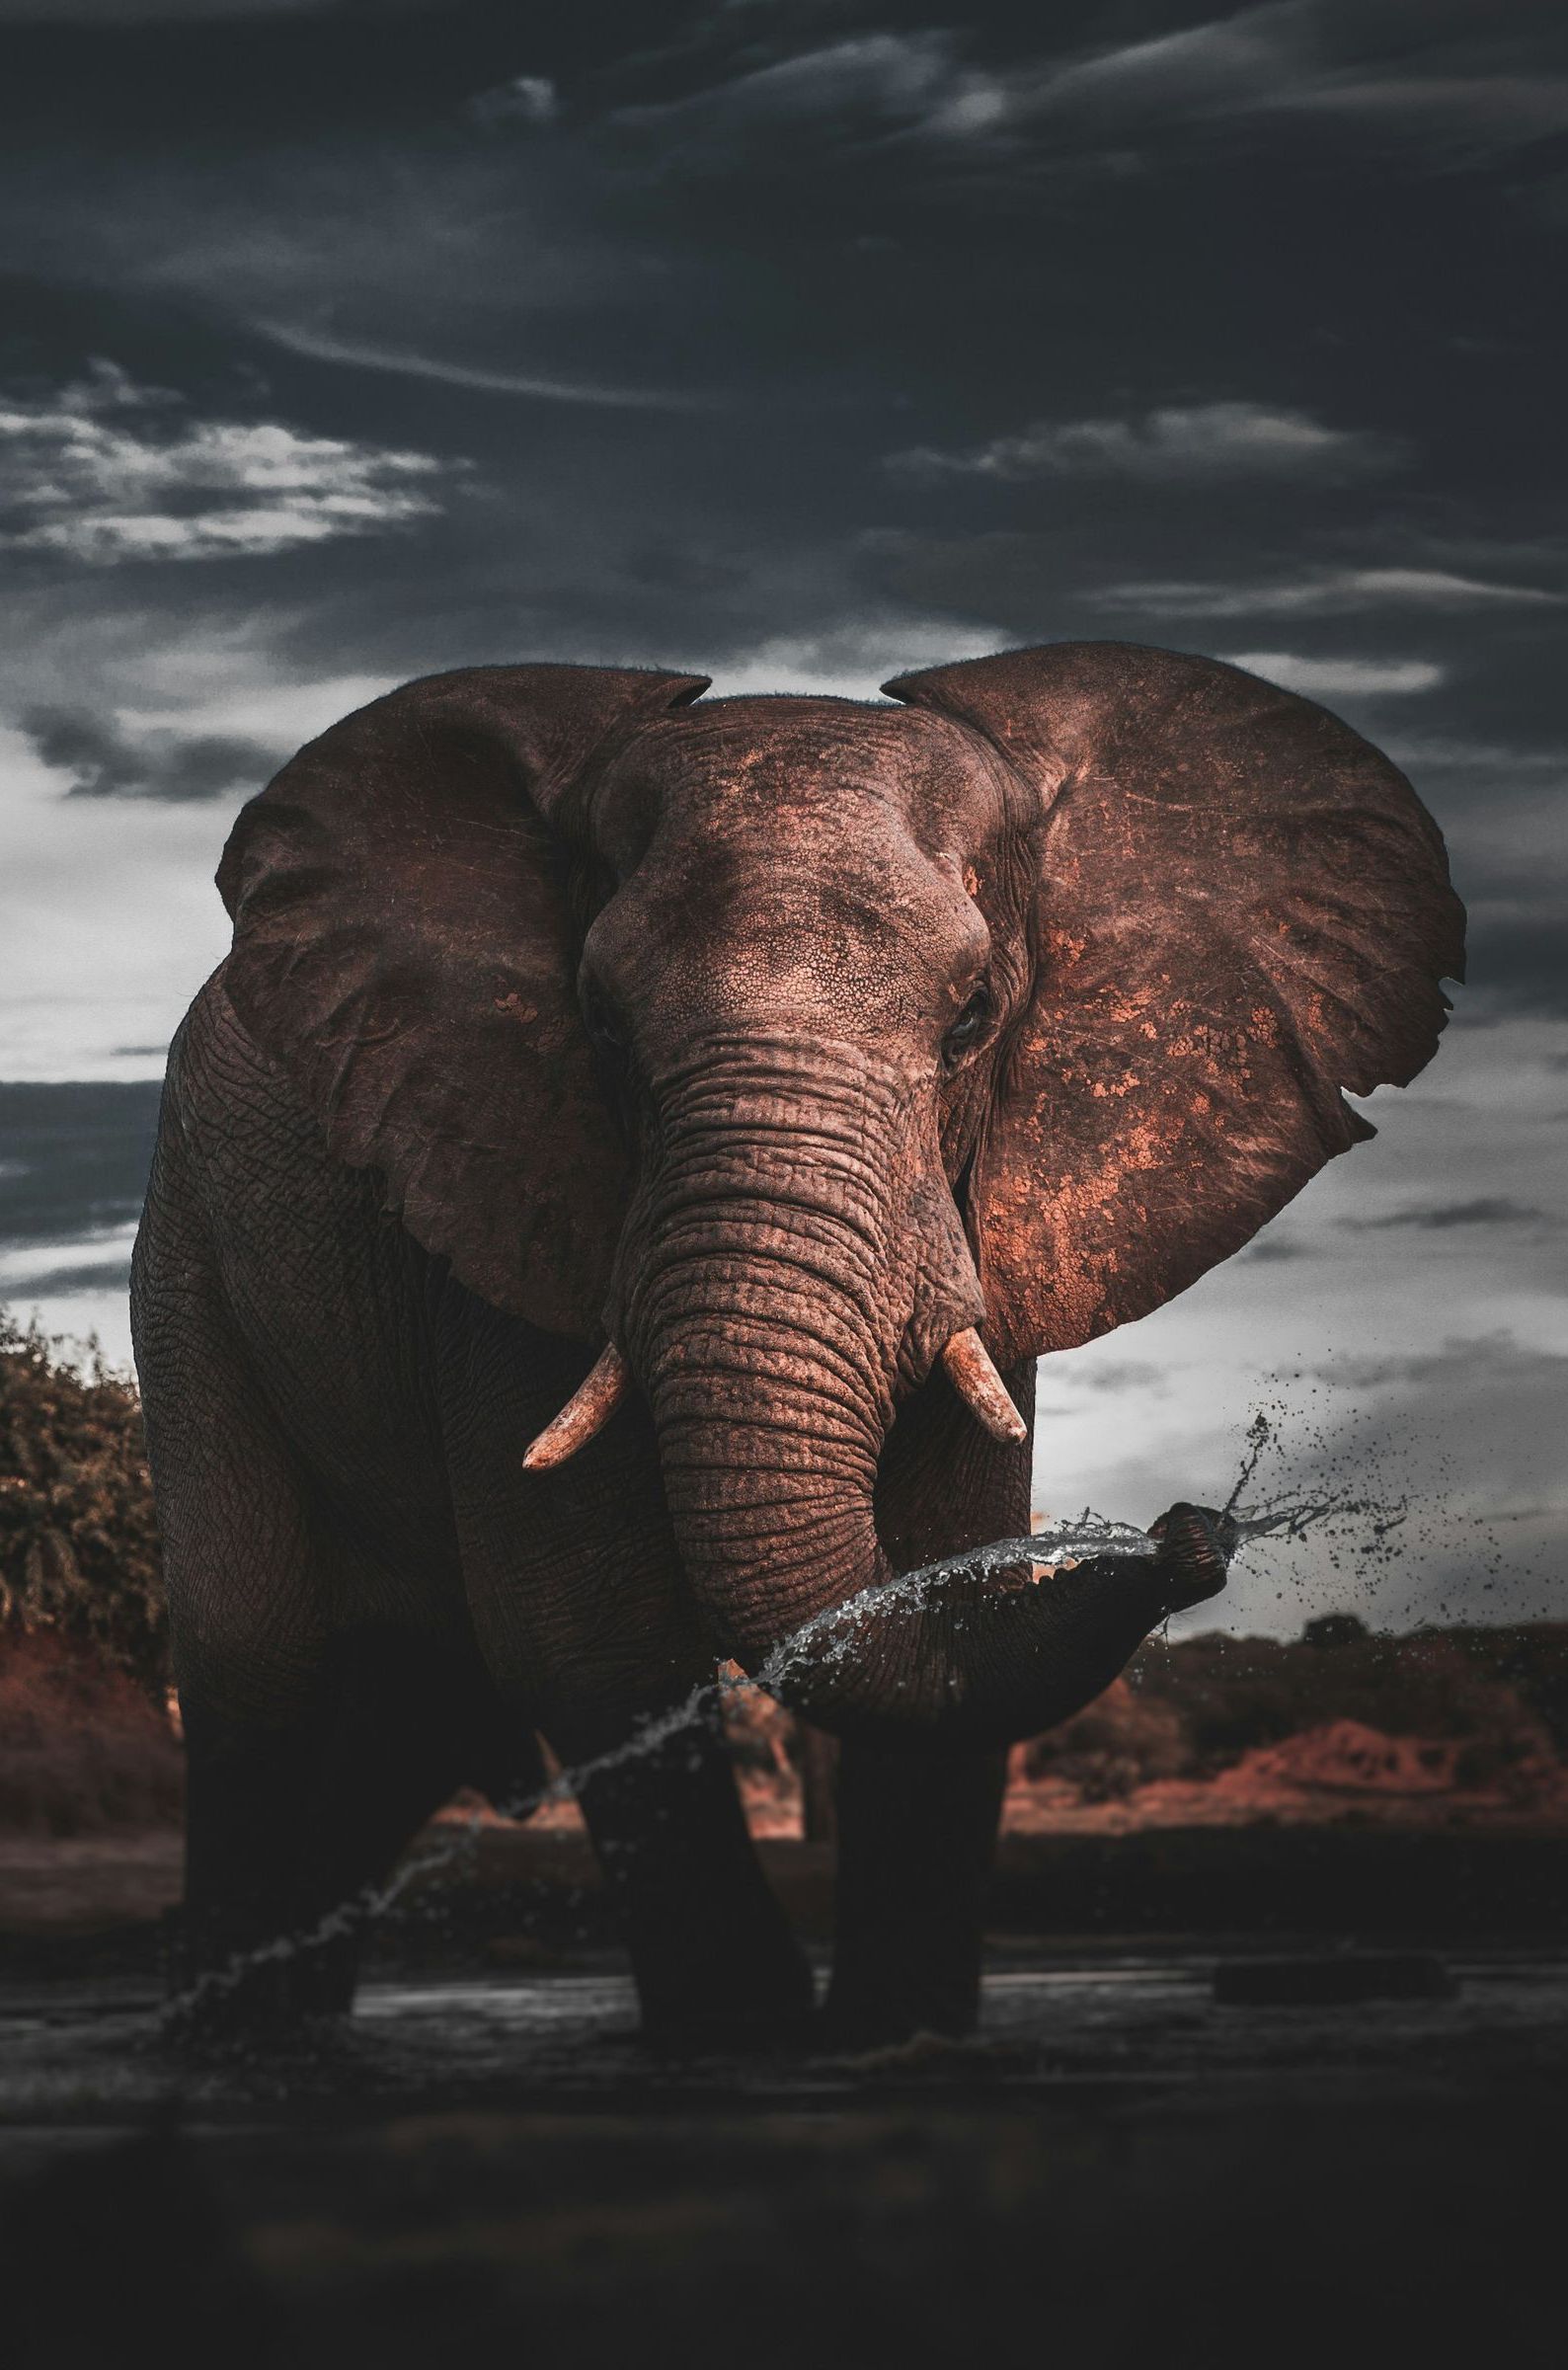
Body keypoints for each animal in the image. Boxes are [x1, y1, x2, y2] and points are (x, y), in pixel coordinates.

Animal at [131, 640, 1463, 2046]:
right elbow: (588, 1639)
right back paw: (227, 2046)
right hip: (190, 1254)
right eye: (598, 1023)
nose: (1190, 1533)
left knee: (408, 1713)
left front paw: (897, 2039)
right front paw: (749, 2046)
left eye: (975, 1016)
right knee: (258, 1667)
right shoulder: (503, 1194)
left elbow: (942, 1576)